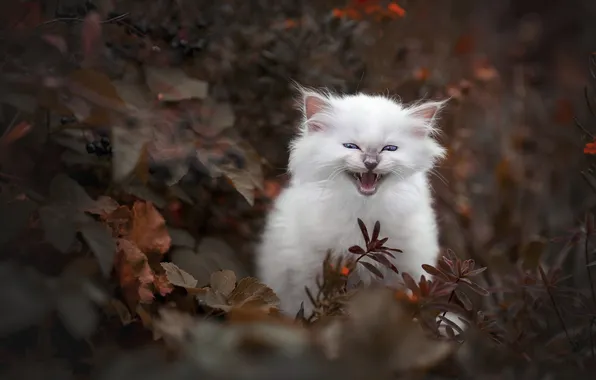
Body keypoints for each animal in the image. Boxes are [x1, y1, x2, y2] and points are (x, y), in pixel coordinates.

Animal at [256, 87, 448, 316]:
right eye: (351, 146)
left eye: (389, 148)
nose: (371, 162)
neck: (363, 213)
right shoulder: (310, 273)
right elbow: (310, 307)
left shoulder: (403, 270)